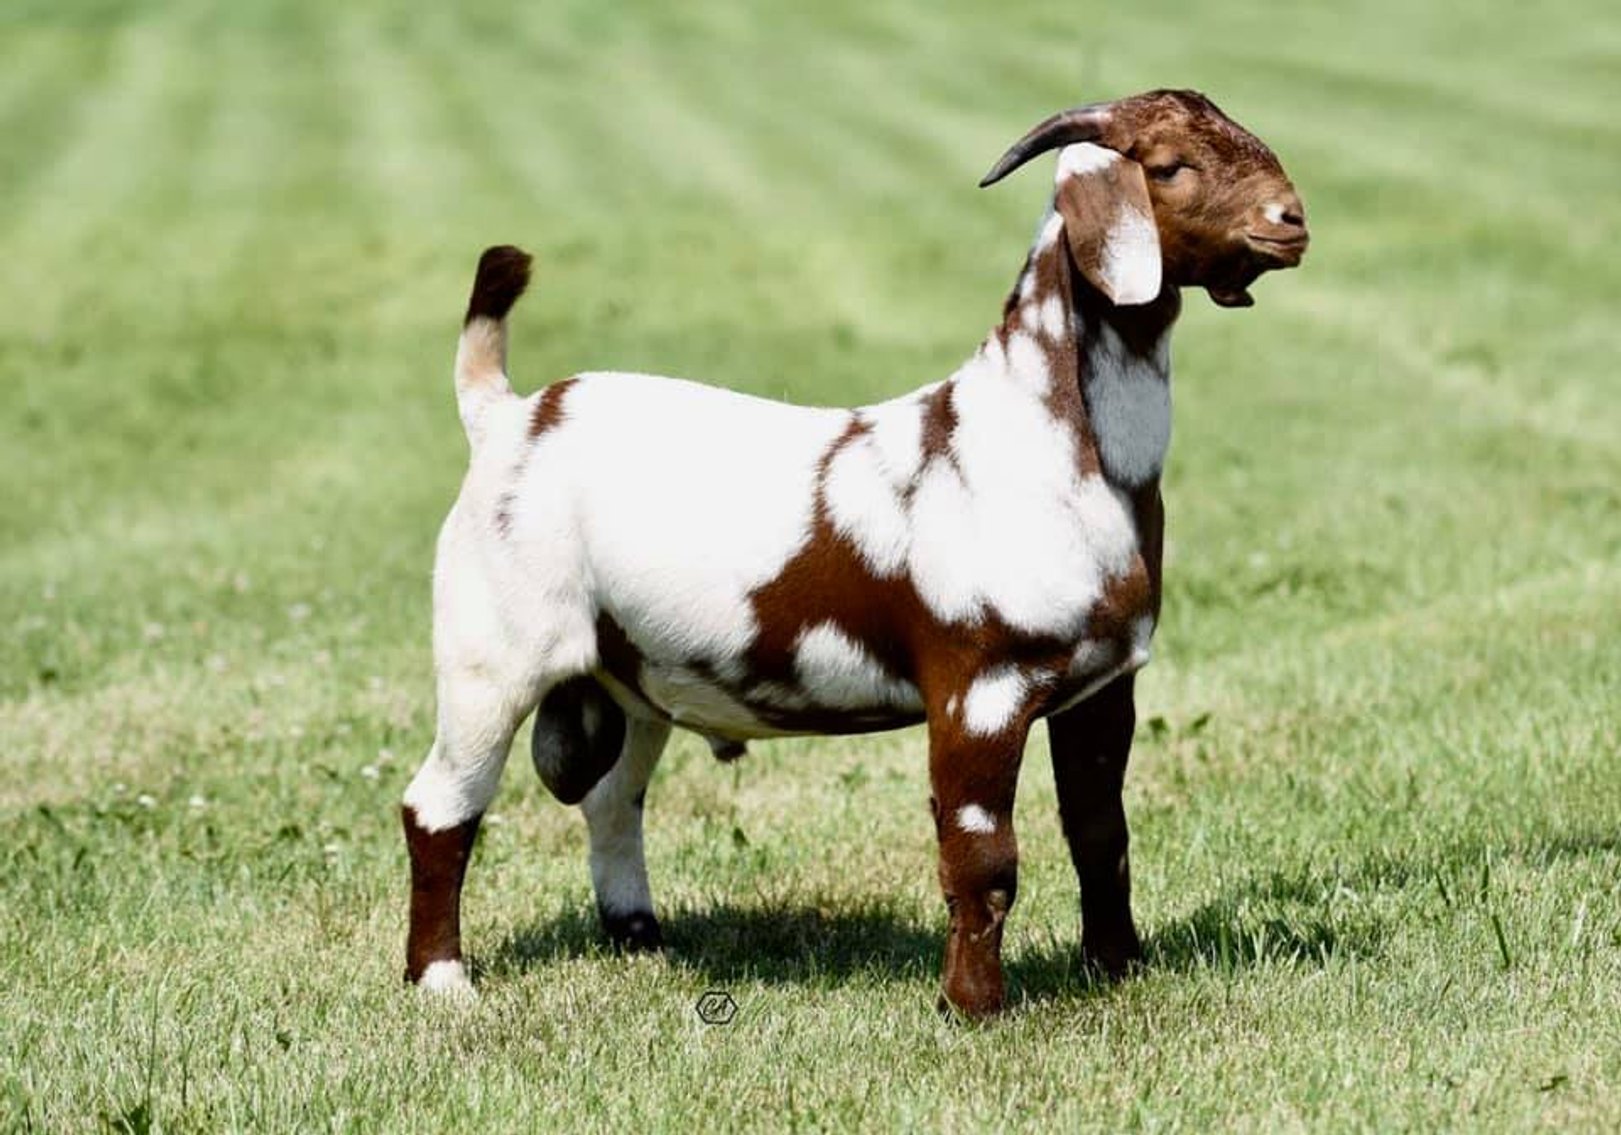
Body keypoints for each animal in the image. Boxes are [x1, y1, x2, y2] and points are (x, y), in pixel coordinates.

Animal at [402, 89, 1308, 1016]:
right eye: (1167, 166)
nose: (1290, 219)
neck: (1035, 438)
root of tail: (506, 415)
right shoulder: (979, 685)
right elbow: (982, 856)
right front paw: (974, 1007)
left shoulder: (1102, 683)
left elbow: (1100, 833)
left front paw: (1117, 969)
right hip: (491, 651)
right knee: (440, 802)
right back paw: (441, 979)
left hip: (634, 675)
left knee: (612, 798)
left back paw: (639, 937)